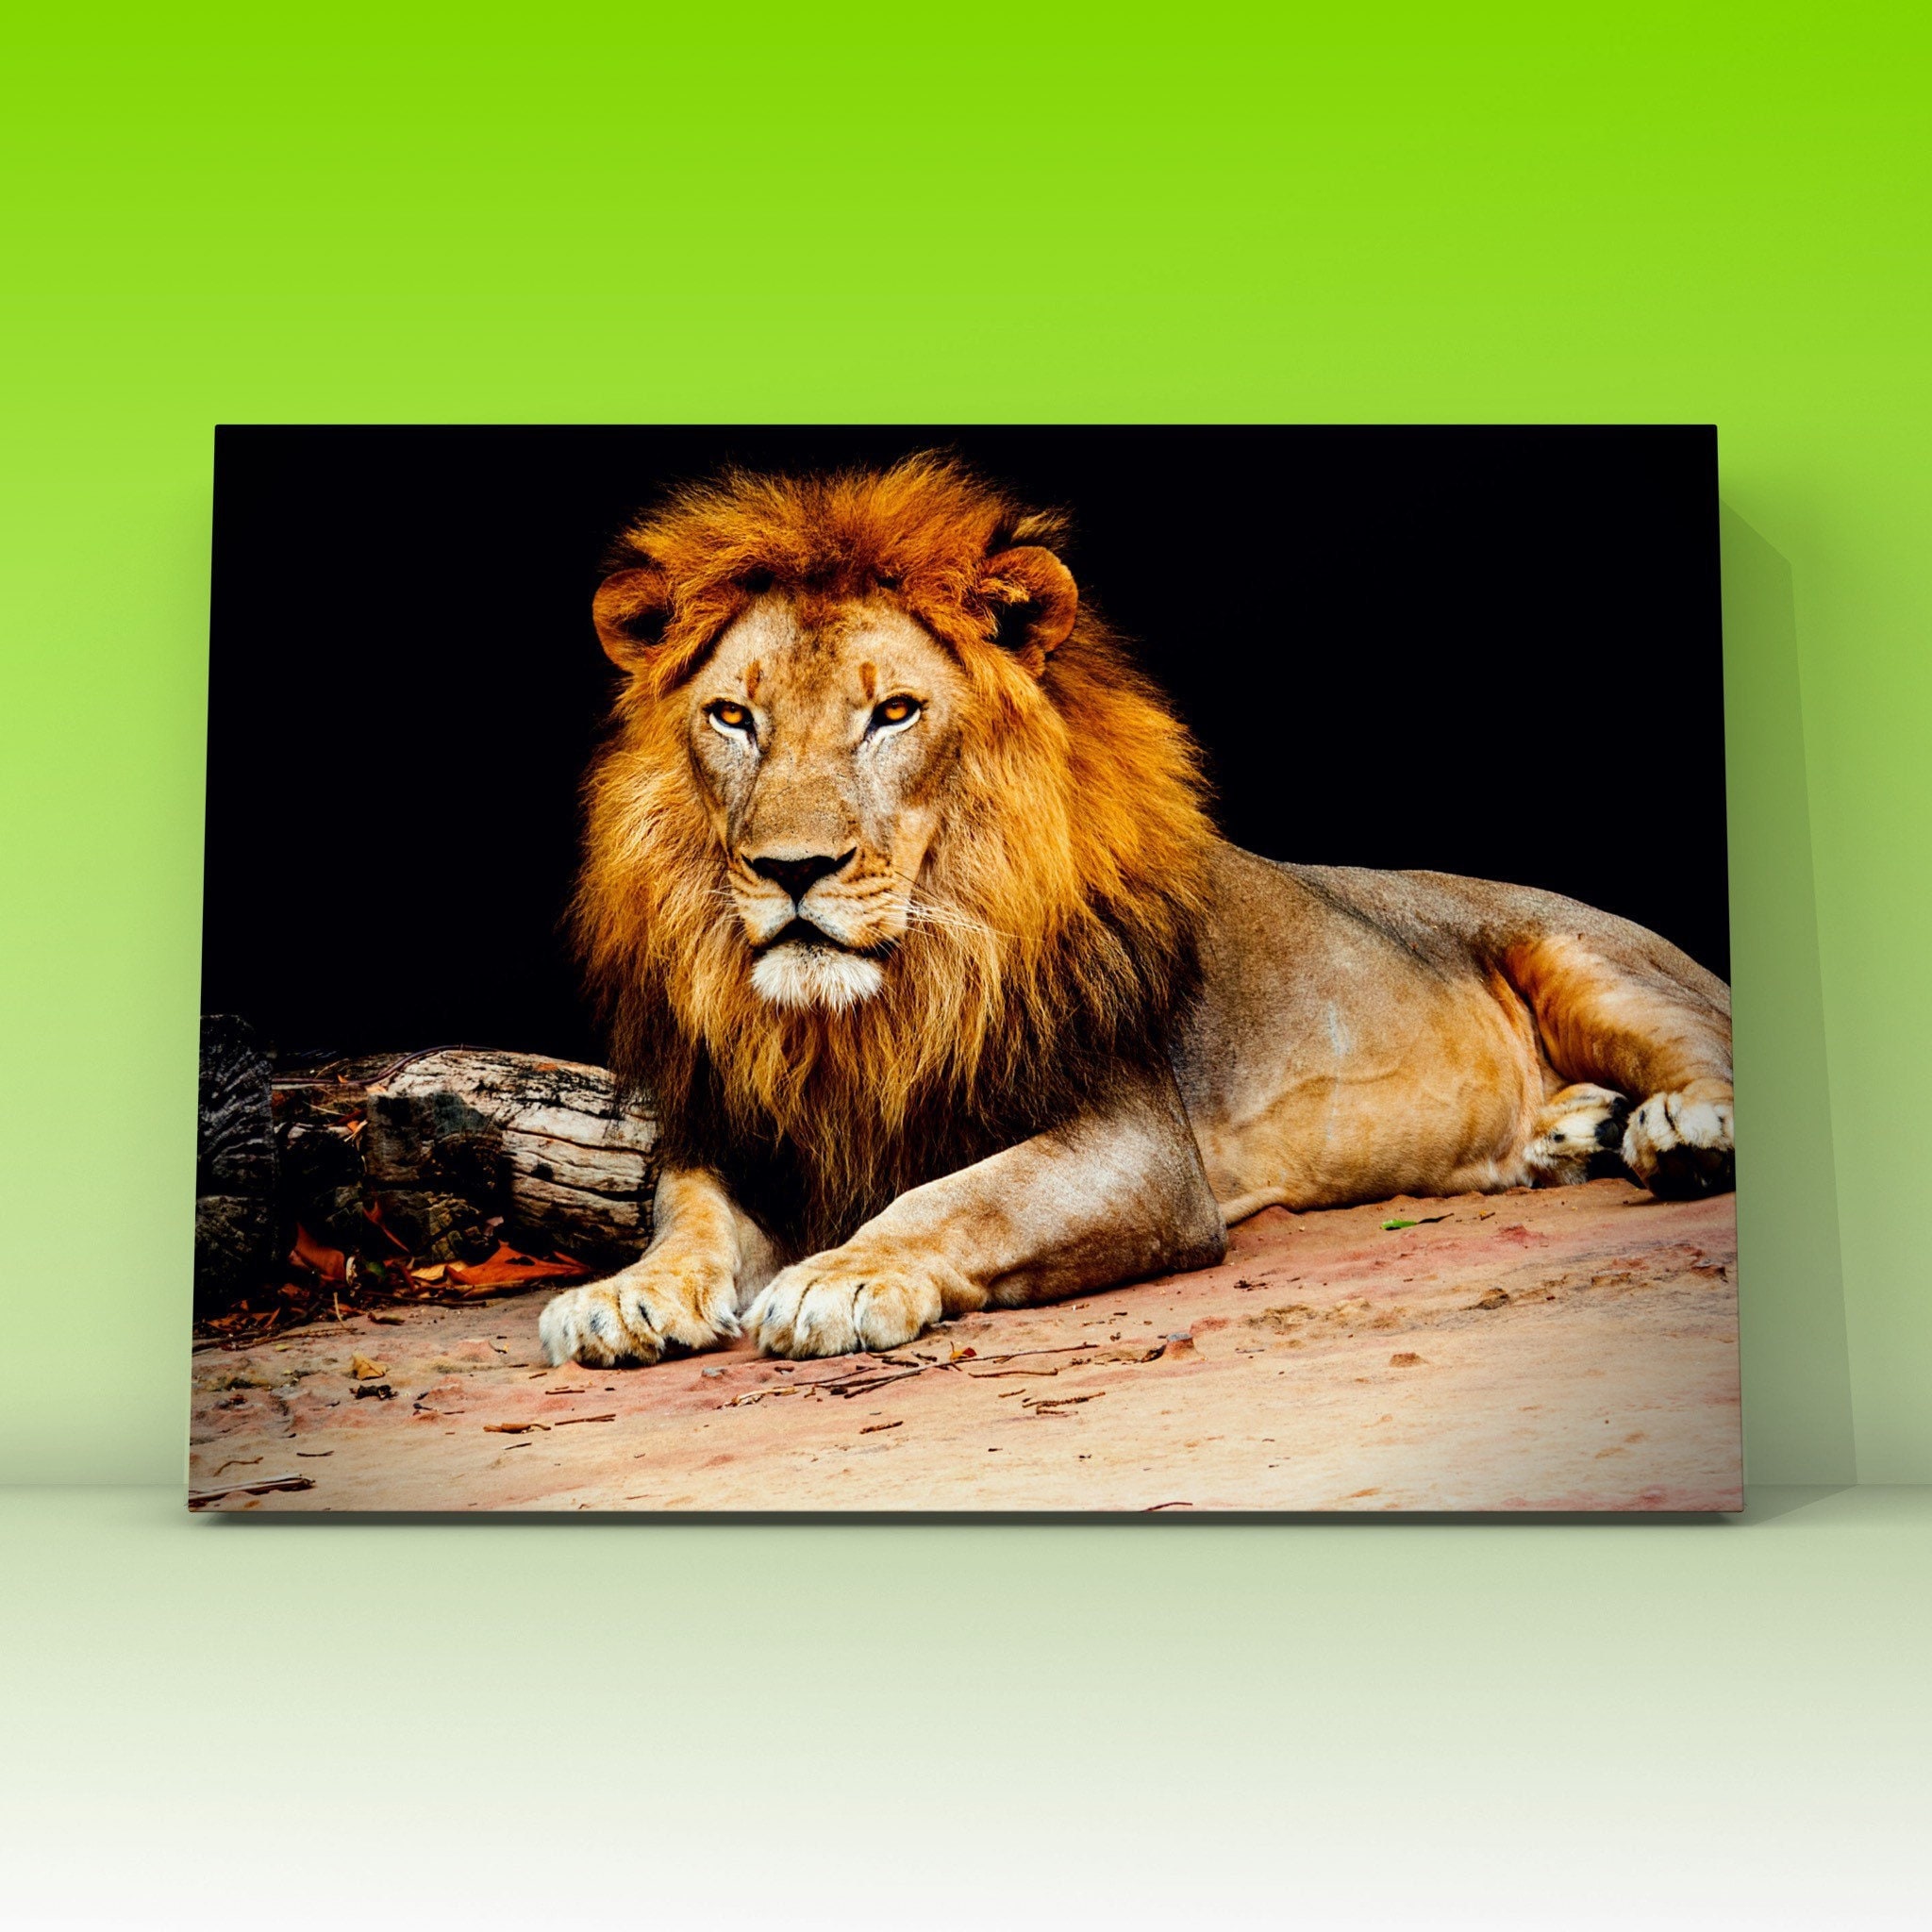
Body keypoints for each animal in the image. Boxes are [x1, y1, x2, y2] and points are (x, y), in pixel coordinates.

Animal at [539, 454, 1734, 1367]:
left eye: (894, 712)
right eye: (732, 716)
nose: (792, 868)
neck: (874, 1012)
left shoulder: (1138, 1146)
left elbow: (962, 1195)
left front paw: (843, 1275)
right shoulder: (735, 1133)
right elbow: (684, 1215)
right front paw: (624, 1293)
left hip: (1586, 955)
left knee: (1705, 1053)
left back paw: (1672, 1135)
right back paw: (1571, 1132)